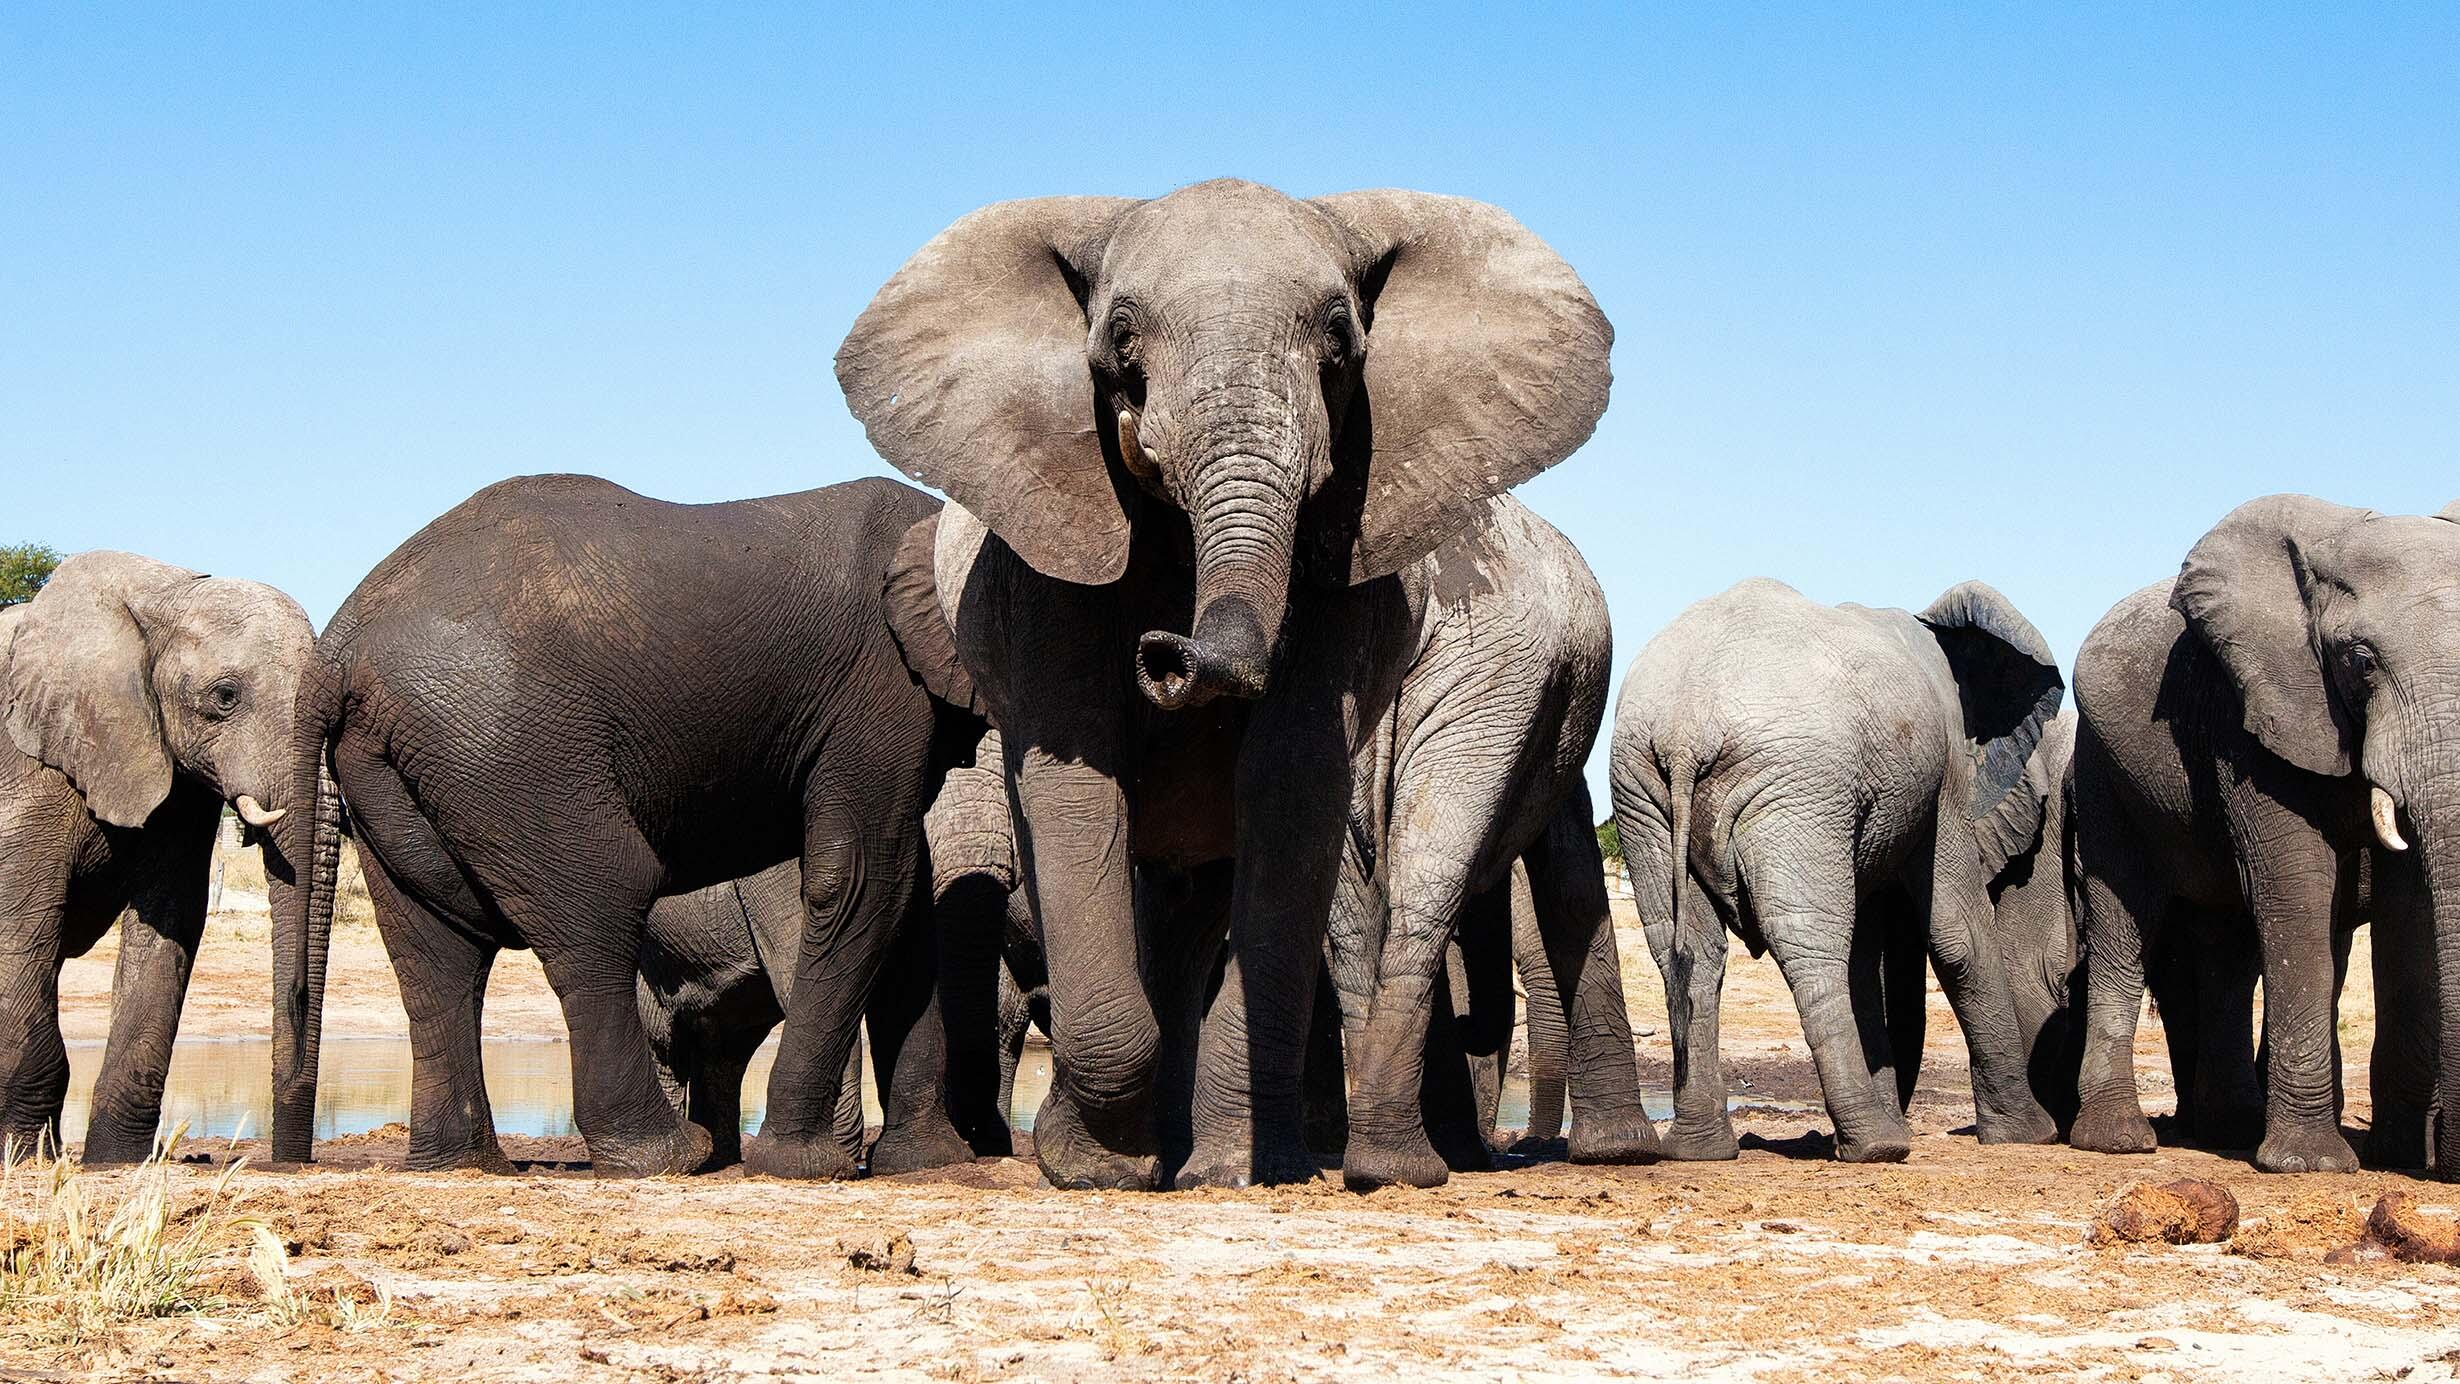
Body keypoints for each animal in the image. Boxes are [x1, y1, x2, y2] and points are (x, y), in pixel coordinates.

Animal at [0, 558, 322, 1165]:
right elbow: (22, 921)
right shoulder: (27, 770)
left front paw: (114, 1162)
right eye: (225, 696)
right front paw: (17, 1153)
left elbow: (170, 917)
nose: (292, 1159)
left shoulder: (180, 782)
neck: (163, 594)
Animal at [279, 479, 979, 1179]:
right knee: (598, 910)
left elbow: (906, 898)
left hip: (397, 760)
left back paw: (463, 1164)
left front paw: (928, 1161)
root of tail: (337, 649)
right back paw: (668, 1155)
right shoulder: (882, 685)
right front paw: (805, 1165)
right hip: (509, 746)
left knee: (436, 949)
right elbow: (863, 876)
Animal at [841, 173, 1633, 1189]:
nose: (1167, 653)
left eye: (1339, 338)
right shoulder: (1043, 552)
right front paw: (1098, 1167)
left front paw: (1220, 1169)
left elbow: (1289, 783)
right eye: (1121, 339)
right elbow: (1079, 779)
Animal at [1603, 580, 2066, 1165]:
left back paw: (1700, 1149)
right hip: (1795, 788)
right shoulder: (1946, 777)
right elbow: (1958, 936)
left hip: (1642, 791)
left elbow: (1867, 953)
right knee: (1810, 941)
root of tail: (1687, 730)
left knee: (1686, 949)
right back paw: (1877, 1145)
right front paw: (2030, 1135)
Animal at [2076, 491, 2460, 1175]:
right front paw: (2312, 1165)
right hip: (2100, 767)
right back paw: (2117, 1139)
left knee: (2227, 946)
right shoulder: (2253, 711)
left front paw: (2399, 1156)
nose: (2448, 1157)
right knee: (2124, 920)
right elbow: (2297, 888)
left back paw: (2230, 1127)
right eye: (2361, 663)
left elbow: (2409, 910)